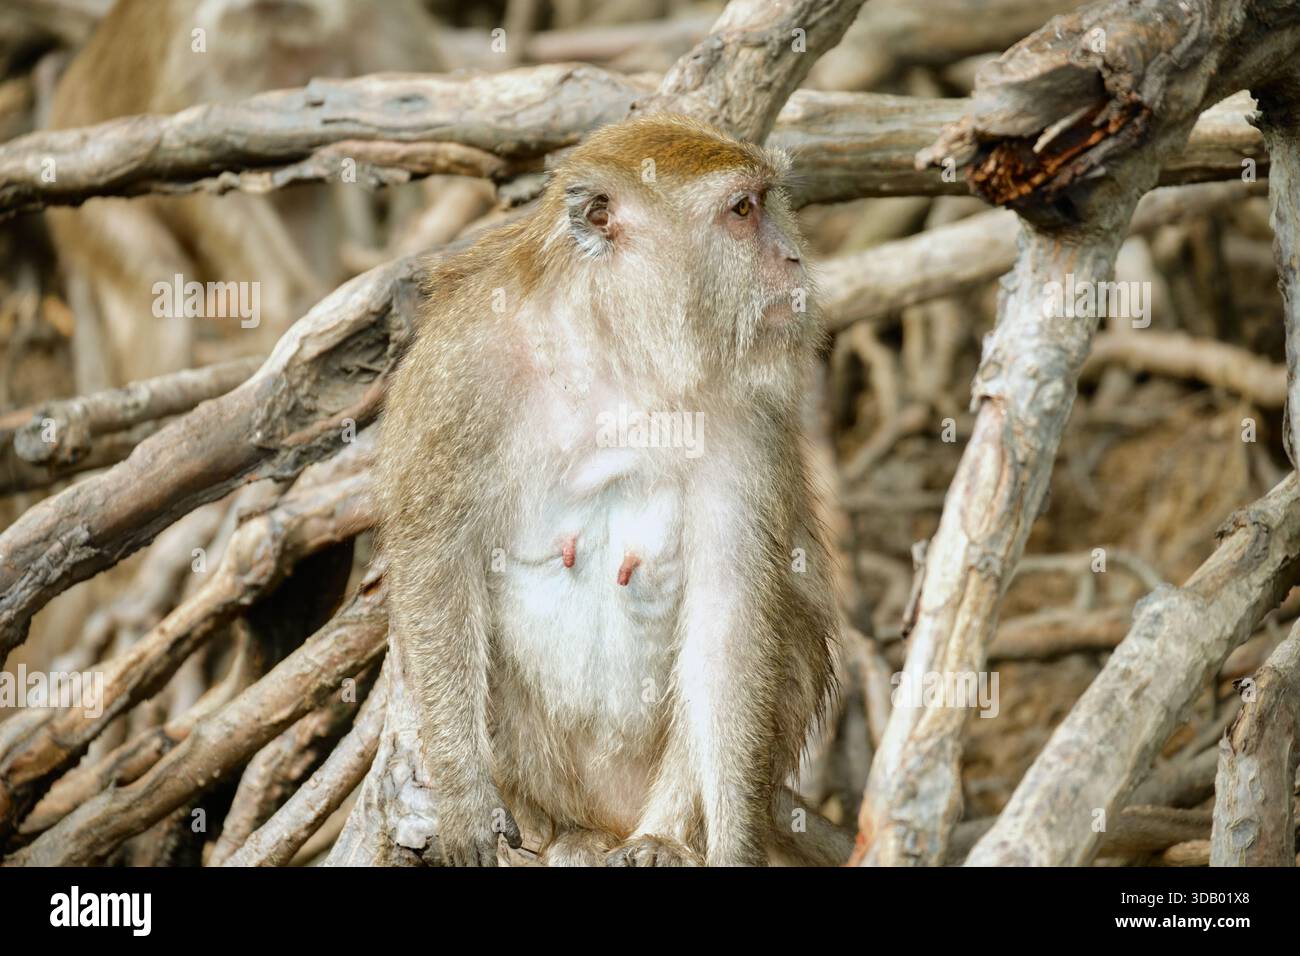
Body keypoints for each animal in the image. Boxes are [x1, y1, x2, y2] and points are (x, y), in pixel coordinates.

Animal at [377, 114, 852, 867]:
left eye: (763, 203)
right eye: (742, 210)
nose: (793, 261)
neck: (618, 355)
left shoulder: (748, 416)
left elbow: (729, 619)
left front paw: (730, 845)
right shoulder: (462, 368)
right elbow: (434, 562)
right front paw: (462, 798)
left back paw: (662, 835)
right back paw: (555, 829)